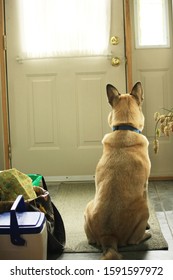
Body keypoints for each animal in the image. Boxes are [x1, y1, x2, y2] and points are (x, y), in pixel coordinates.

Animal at [84, 82, 151, 260]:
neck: (125, 128)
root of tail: (109, 237)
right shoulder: (145, 185)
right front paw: (148, 227)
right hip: (144, 208)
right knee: (134, 240)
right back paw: (146, 234)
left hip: (87, 207)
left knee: (91, 241)